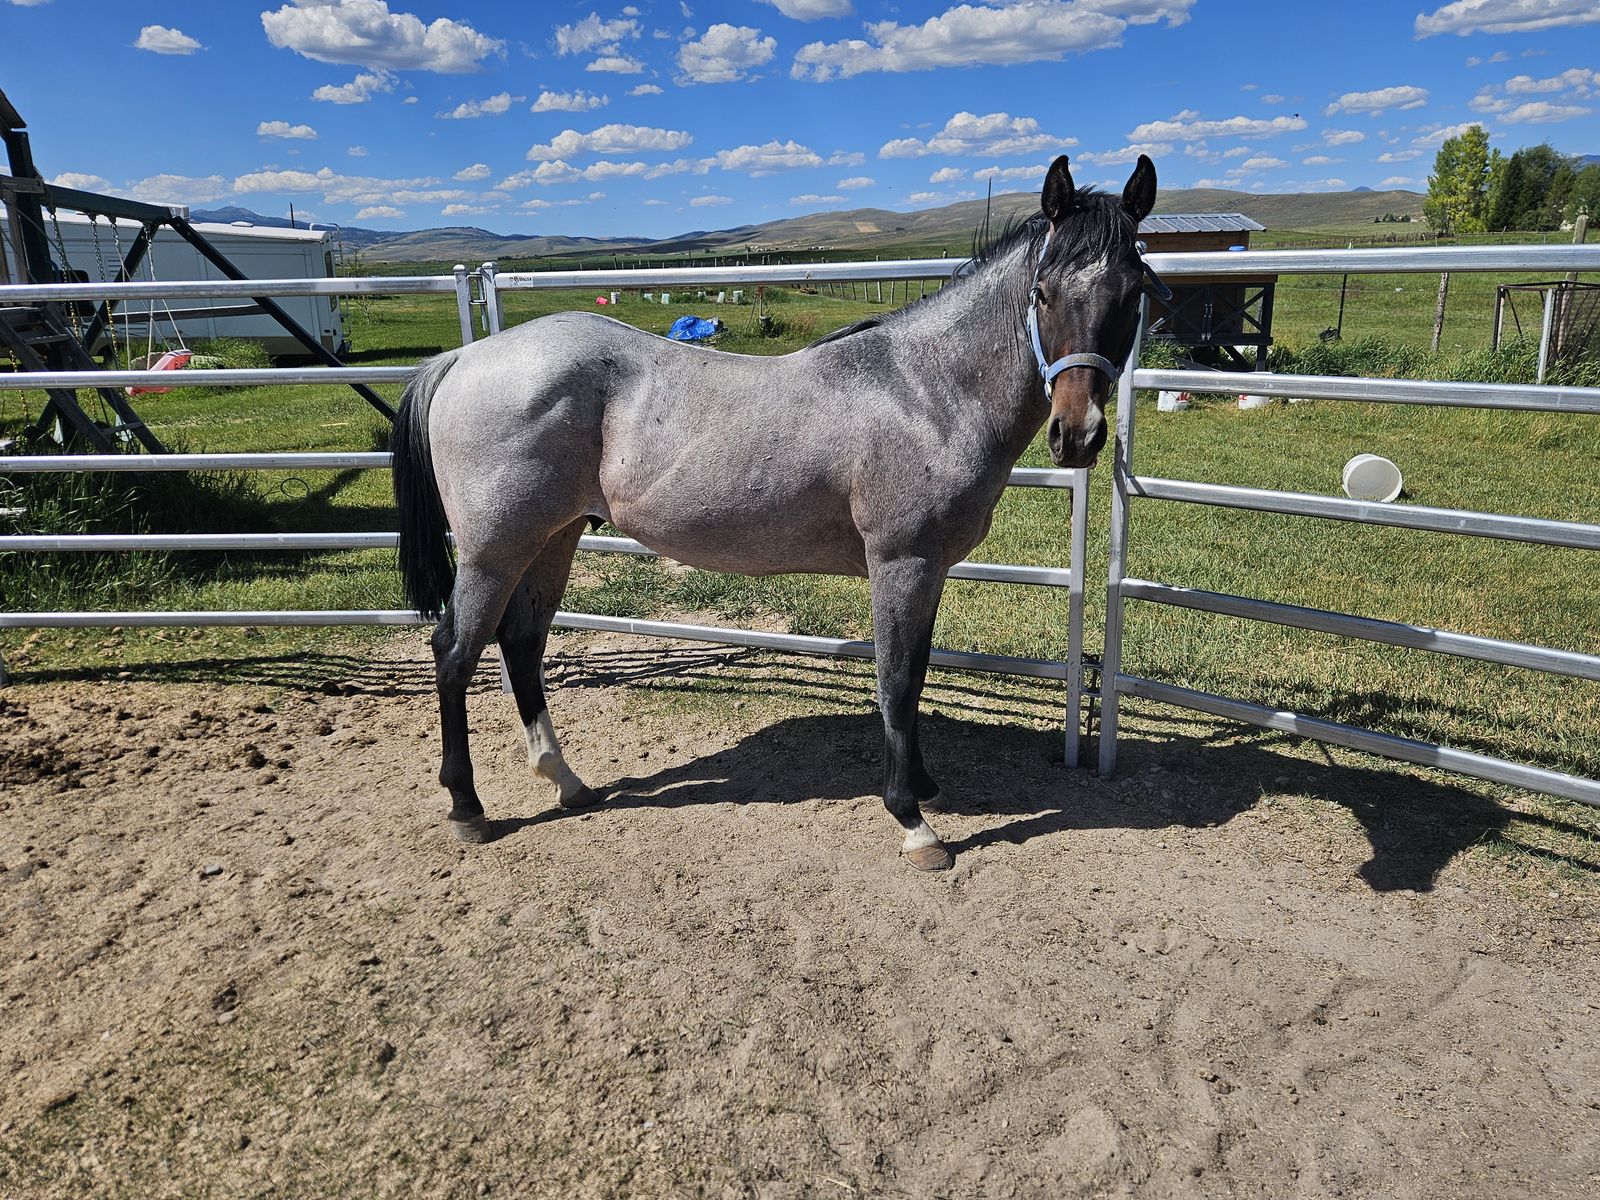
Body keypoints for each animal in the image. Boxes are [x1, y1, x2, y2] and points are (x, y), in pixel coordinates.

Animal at [393, 153, 1159, 871]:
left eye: (1131, 292)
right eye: (1043, 291)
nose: (1078, 434)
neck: (926, 389)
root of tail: (463, 358)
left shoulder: (930, 569)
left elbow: (914, 676)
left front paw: (925, 786)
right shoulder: (903, 563)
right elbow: (896, 681)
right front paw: (913, 821)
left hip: (554, 537)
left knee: (522, 643)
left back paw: (569, 782)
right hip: (495, 550)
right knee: (454, 653)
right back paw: (468, 808)